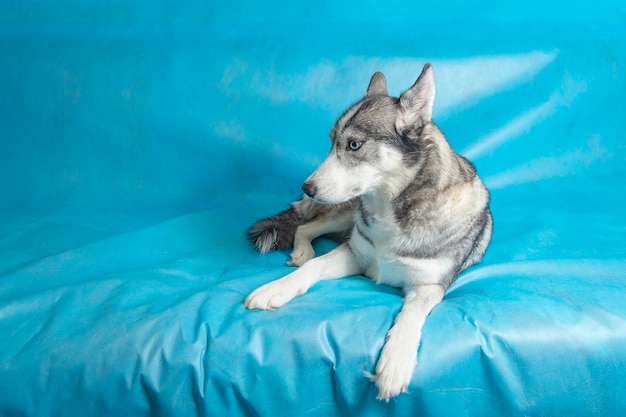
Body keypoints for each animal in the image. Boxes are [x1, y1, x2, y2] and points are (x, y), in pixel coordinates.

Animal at [241, 64, 490, 400]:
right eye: (331, 142)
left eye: (354, 145)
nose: (306, 187)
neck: (392, 210)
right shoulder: (354, 255)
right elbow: (314, 266)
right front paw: (277, 287)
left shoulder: (429, 287)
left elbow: (410, 315)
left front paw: (395, 361)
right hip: (345, 213)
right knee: (306, 226)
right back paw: (302, 249)